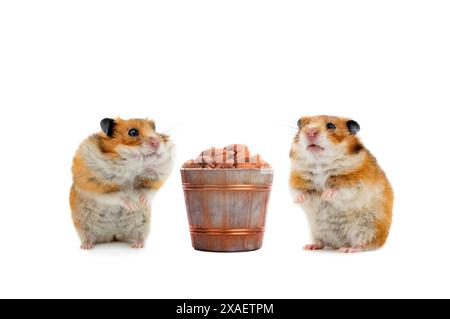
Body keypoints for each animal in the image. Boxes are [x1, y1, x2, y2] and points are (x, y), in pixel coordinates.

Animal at [70, 118, 174, 250]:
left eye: (154, 129)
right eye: (133, 132)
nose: (156, 142)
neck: (130, 167)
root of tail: (112, 235)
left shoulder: (157, 176)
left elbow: (147, 190)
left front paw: (141, 203)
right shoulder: (98, 184)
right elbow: (118, 196)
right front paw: (133, 205)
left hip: (142, 224)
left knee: (139, 235)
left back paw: (138, 245)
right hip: (82, 224)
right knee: (87, 236)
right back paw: (86, 246)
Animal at [290, 116, 392, 254]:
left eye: (331, 126)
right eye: (304, 125)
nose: (310, 132)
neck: (319, 164)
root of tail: (338, 244)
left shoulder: (356, 181)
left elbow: (341, 189)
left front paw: (325, 195)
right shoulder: (296, 178)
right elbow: (297, 191)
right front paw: (299, 200)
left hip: (368, 228)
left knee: (364, 244)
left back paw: (347, 249)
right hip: (316, 231)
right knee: (321, 242)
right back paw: (310, 247)